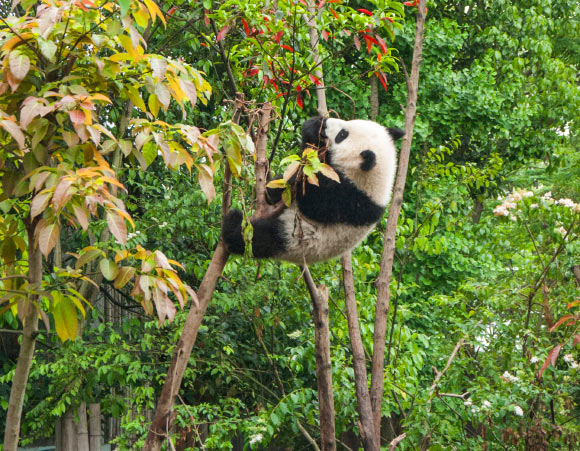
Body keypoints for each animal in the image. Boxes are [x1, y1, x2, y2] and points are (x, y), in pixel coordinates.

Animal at [222, 116, 404, 264]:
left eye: (342, 135)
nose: (327, 122)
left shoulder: (350, 200)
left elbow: (313, 203)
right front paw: (314, 126)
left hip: (293, 239)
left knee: (258, 238)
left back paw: (233, 223)